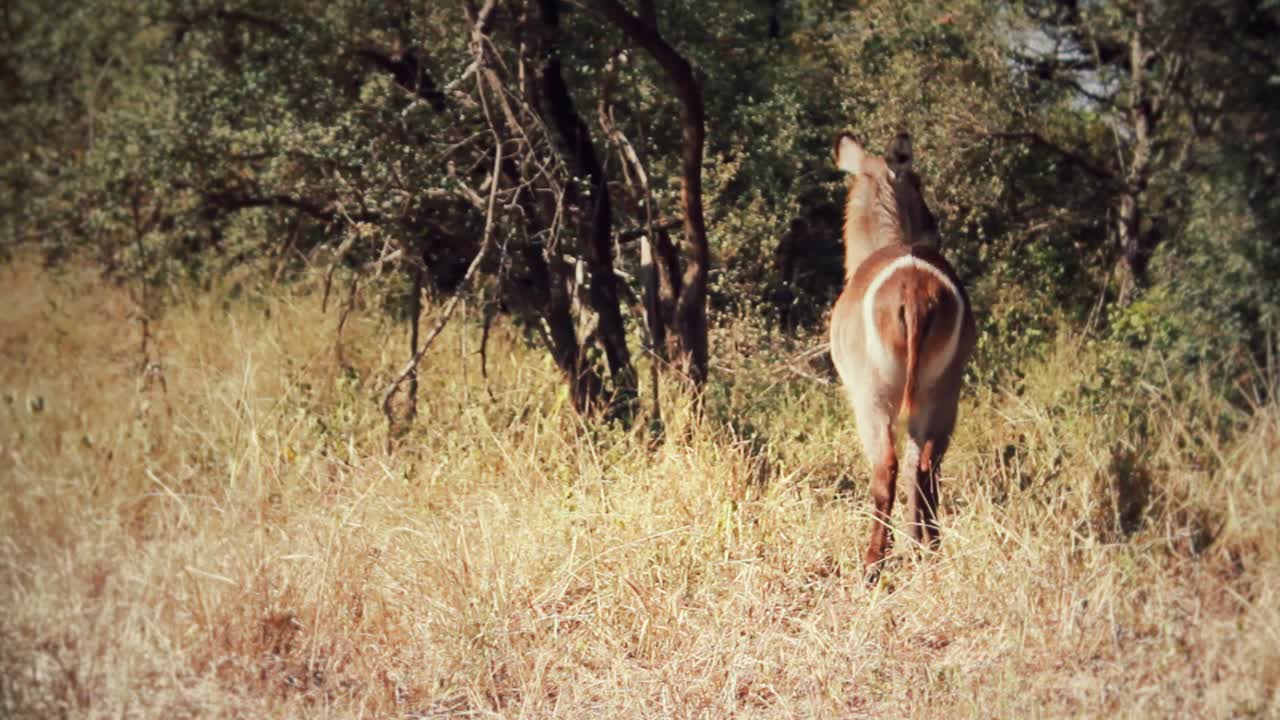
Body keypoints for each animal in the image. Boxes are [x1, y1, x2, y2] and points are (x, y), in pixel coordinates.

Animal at [829, 132, 976, 580]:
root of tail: (914, 288)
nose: (934, 225)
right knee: (924, 466)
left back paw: (872, 564)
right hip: (942, 393)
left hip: (875, 398)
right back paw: (929, 551)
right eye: (920, 182)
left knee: (888, 468)